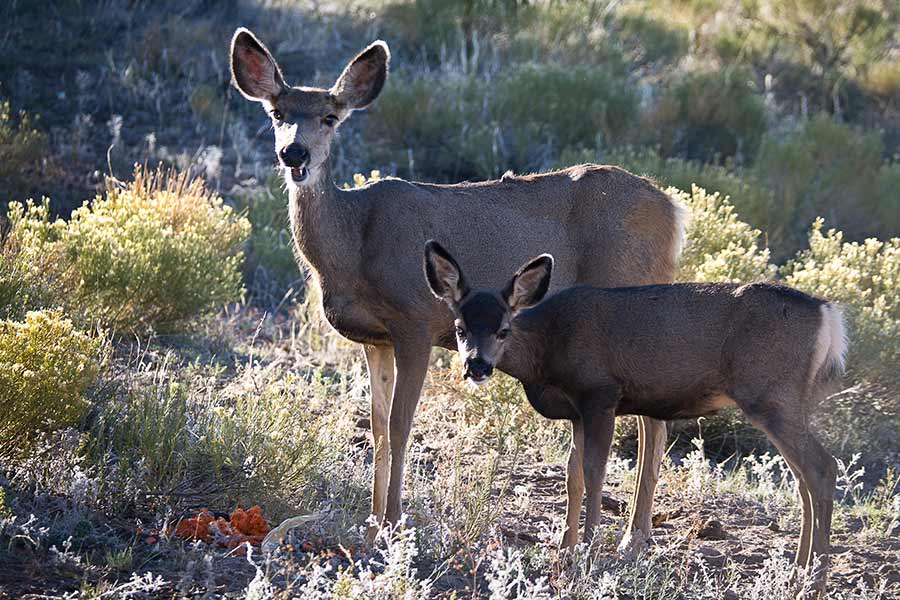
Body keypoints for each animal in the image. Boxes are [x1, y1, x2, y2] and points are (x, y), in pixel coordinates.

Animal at [229, 30, 684, 552]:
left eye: (330, 117)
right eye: (276, 113)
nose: (295, 154)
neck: (353, 240)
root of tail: (675, 212)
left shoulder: (415, 321)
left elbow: (402, 426)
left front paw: (394, 522)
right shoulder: (375, 339)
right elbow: (377, 427)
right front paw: (370, 521)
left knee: (655, 420)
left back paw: (632, 538)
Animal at [422, 240, 844, 596]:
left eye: (503, 329)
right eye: (460, 328)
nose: (476, 365)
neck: (548, 350)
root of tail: (828, 314)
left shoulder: (600, 394)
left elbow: (595, 472)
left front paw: (587, 555)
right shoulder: (577, 412)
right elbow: (572, 476)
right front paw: (564, 553)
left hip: (771, 395)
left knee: (822, 467)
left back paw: (814, 584)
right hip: (785, 402)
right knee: (803, 479)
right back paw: (797, 575)